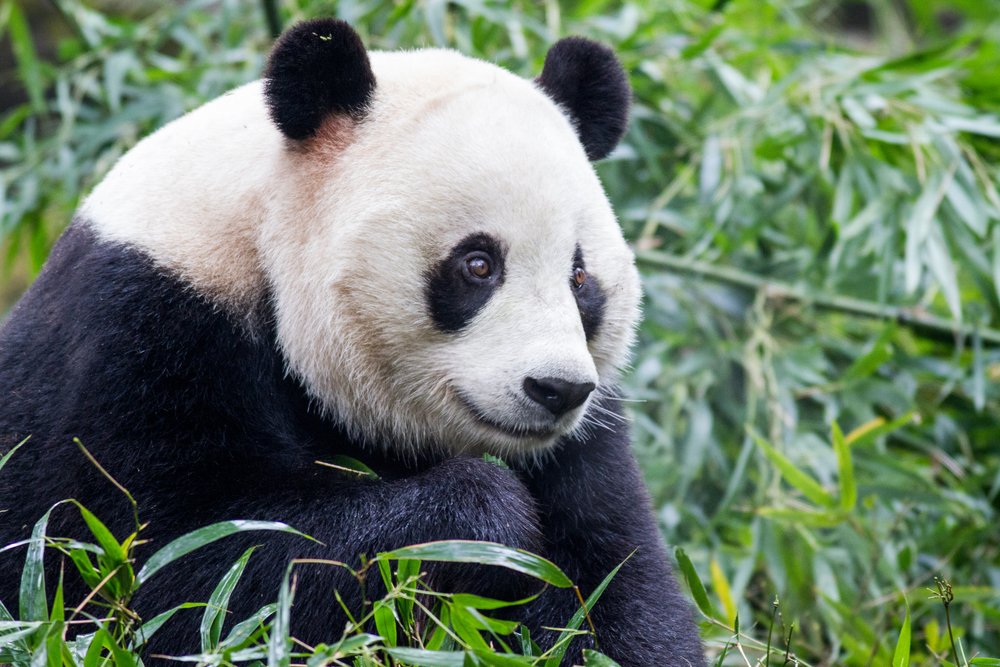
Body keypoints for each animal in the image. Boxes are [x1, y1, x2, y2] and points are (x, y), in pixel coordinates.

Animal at [0, 19, 704, 665]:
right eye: (478, 264)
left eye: (580, 279)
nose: (556, 389)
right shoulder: (146, 333)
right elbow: (177, 568)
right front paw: (490, 530)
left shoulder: (586, 441)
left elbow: (619, 579)